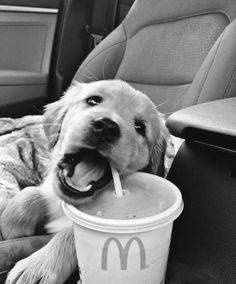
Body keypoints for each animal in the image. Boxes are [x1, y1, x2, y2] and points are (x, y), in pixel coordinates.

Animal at [1, 79, 168, 284]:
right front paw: (12, 228)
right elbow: (28, 194)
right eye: (93, 100)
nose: (106, 127)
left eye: (140, 128)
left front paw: (39, 265)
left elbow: (71, 232)